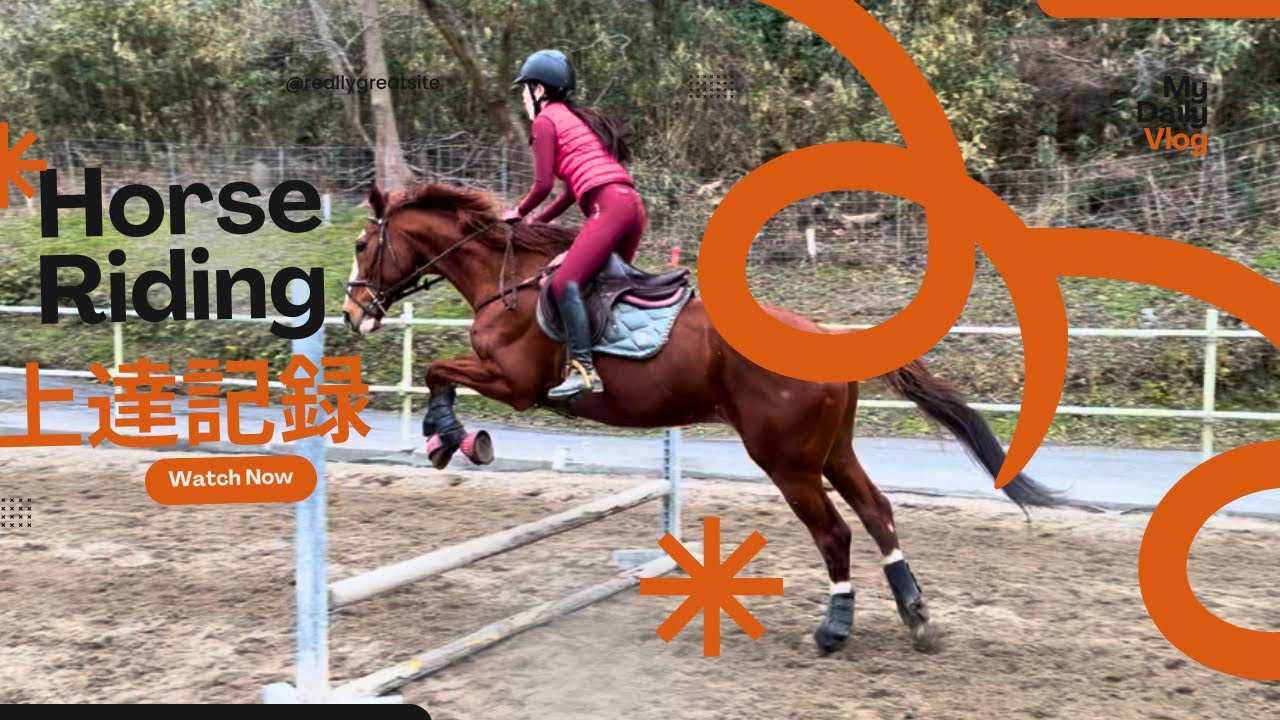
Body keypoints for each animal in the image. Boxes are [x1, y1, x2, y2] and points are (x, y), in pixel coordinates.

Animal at [341, 181, 1073, 654]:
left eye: (361, 244)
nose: (352, 312)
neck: (508, 279)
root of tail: (828, 334)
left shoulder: (516, 383)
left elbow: (439, 371)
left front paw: (452, 438)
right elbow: (440, 372)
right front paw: (445, 441)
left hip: (785, 460)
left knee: (835, 533)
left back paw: (834, 630)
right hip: (831, 451)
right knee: (877, 511)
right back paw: (916, 616)